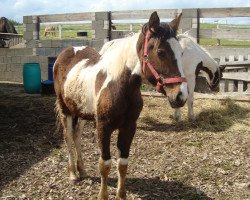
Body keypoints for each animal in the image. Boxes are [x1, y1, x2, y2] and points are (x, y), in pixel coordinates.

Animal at [54, 11, 188, 199]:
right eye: (160, 52)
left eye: (181, 52)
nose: (180, 96)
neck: (119, 86)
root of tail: (66, 52)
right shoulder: (103, 127)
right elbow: (105, 164)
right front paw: (103, 195)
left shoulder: (129, 127)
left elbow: (123, 163)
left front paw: (121, 194)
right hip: (65, 110)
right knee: (67, 137)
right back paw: (73, 173)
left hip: (81, 113)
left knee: (76, 136)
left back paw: (82, 170)